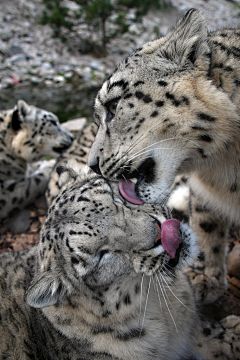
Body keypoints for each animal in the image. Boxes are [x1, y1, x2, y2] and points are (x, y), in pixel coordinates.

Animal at [0, 166, 239, 360]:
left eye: (114, 196)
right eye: (102, 255)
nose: (161, 233)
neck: (158, 308)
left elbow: (212, 333)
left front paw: (232, 333)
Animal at [88, 9, 240, 304]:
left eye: (114, 105)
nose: (92, 165)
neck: (224, 166)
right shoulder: (203, 193)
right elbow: (206, 226)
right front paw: (206, 279)